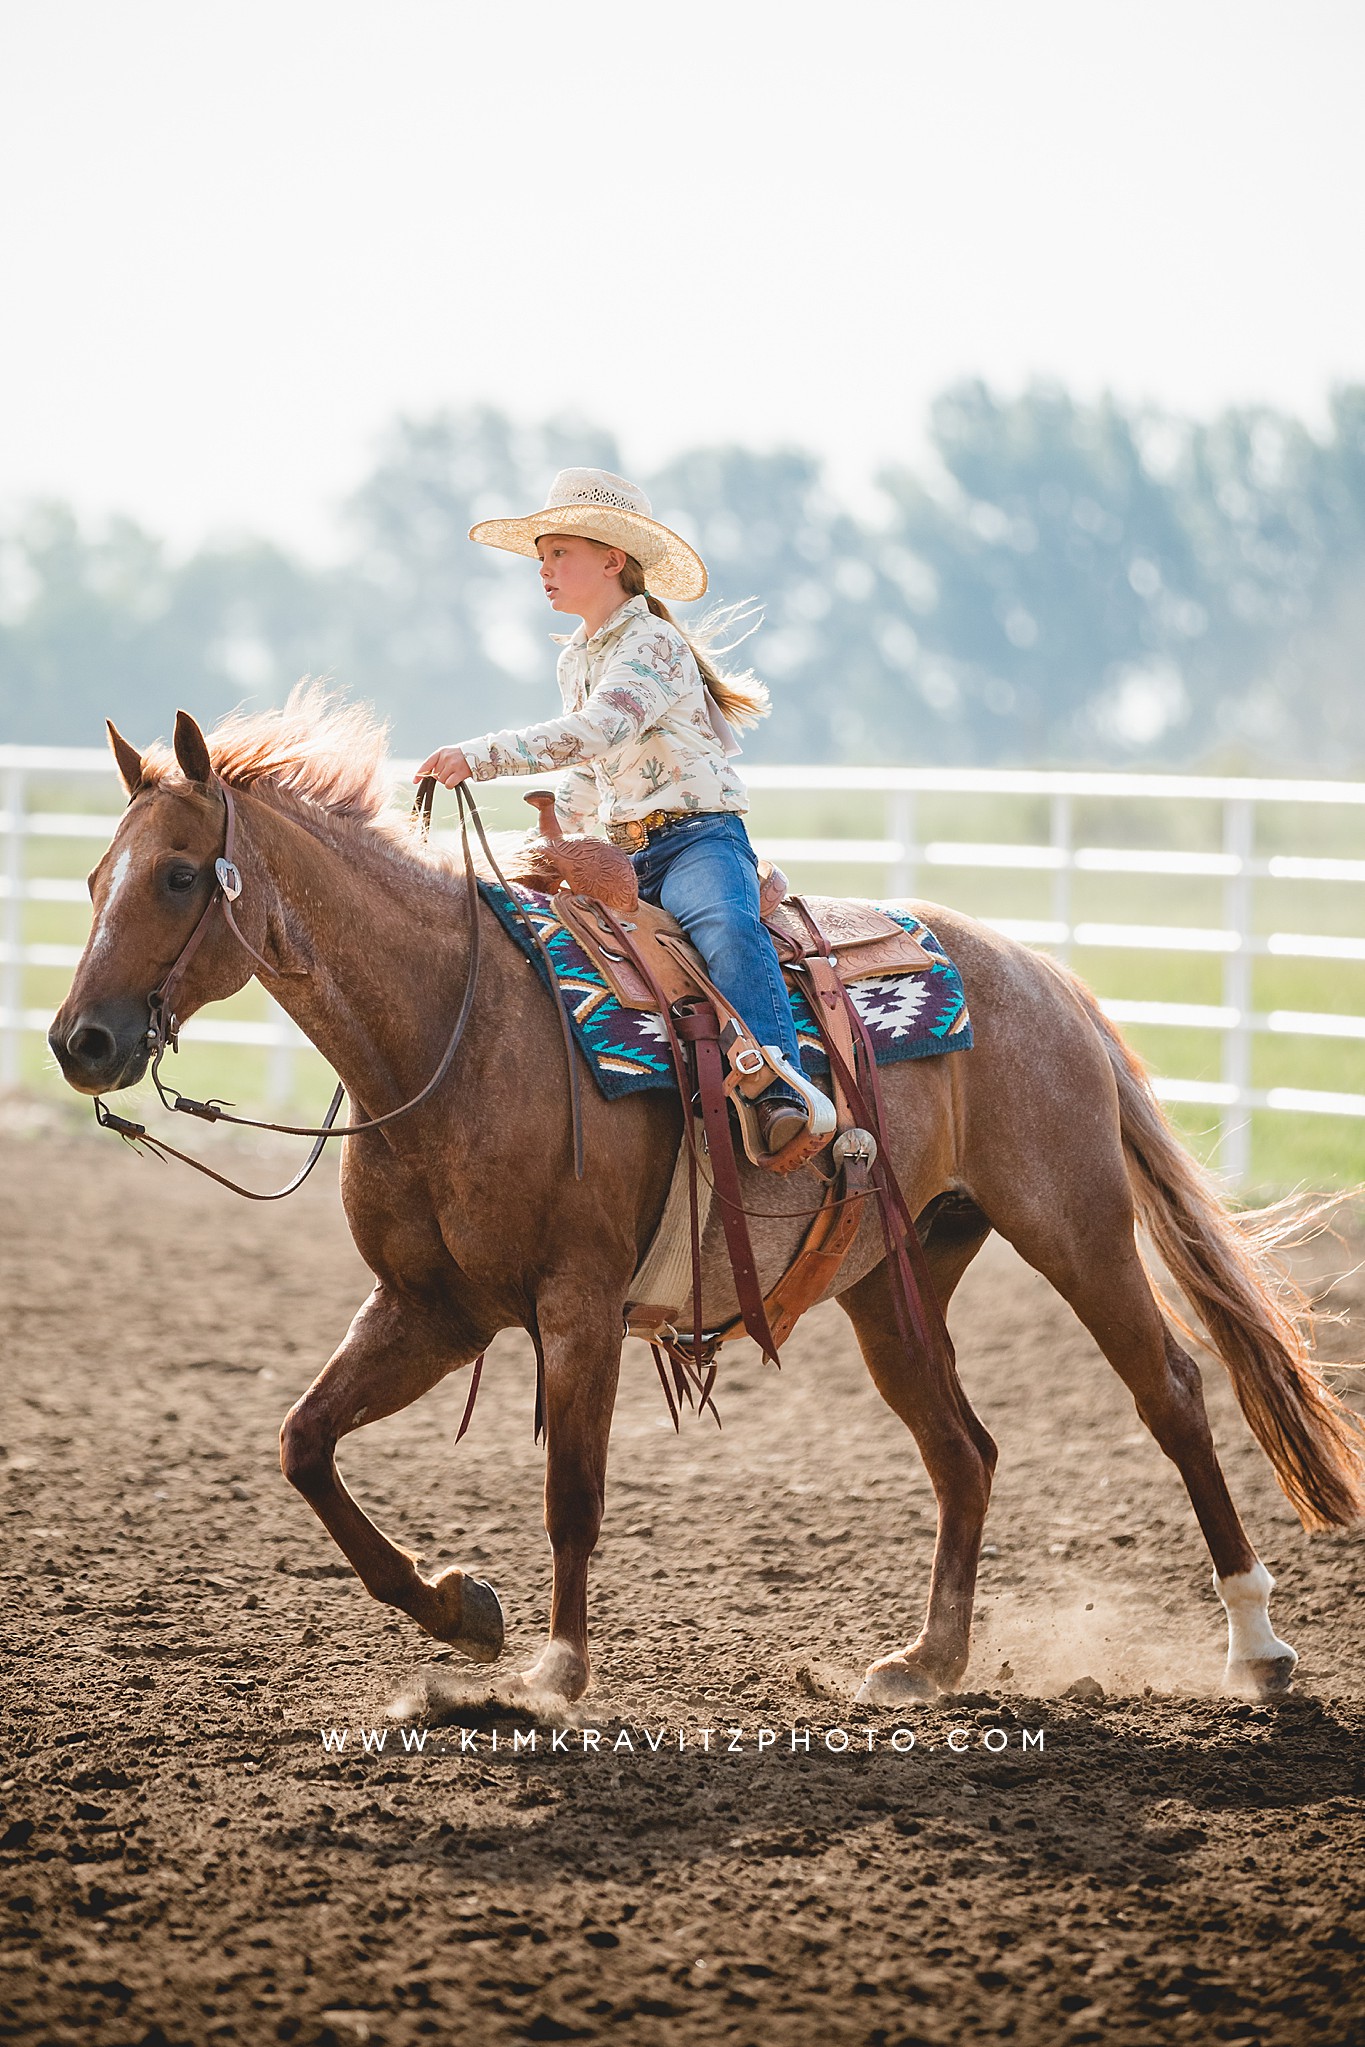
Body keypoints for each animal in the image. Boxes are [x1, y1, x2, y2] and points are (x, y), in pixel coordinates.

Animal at [48, 691, 1358, 1711]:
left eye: (179, 876)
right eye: (95, 874)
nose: (79, 1040)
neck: (450, 1027)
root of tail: (1046, 978)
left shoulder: (575, 1303)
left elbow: (572, 1490)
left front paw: (555, 1674)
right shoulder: (430, 1307)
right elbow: (304, 1443)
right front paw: (460, 1608)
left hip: (1077, 1228)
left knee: (1173, 1395)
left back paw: (1256, 1647)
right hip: (895, 1282)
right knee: (965, 1450)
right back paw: (928, 1661)